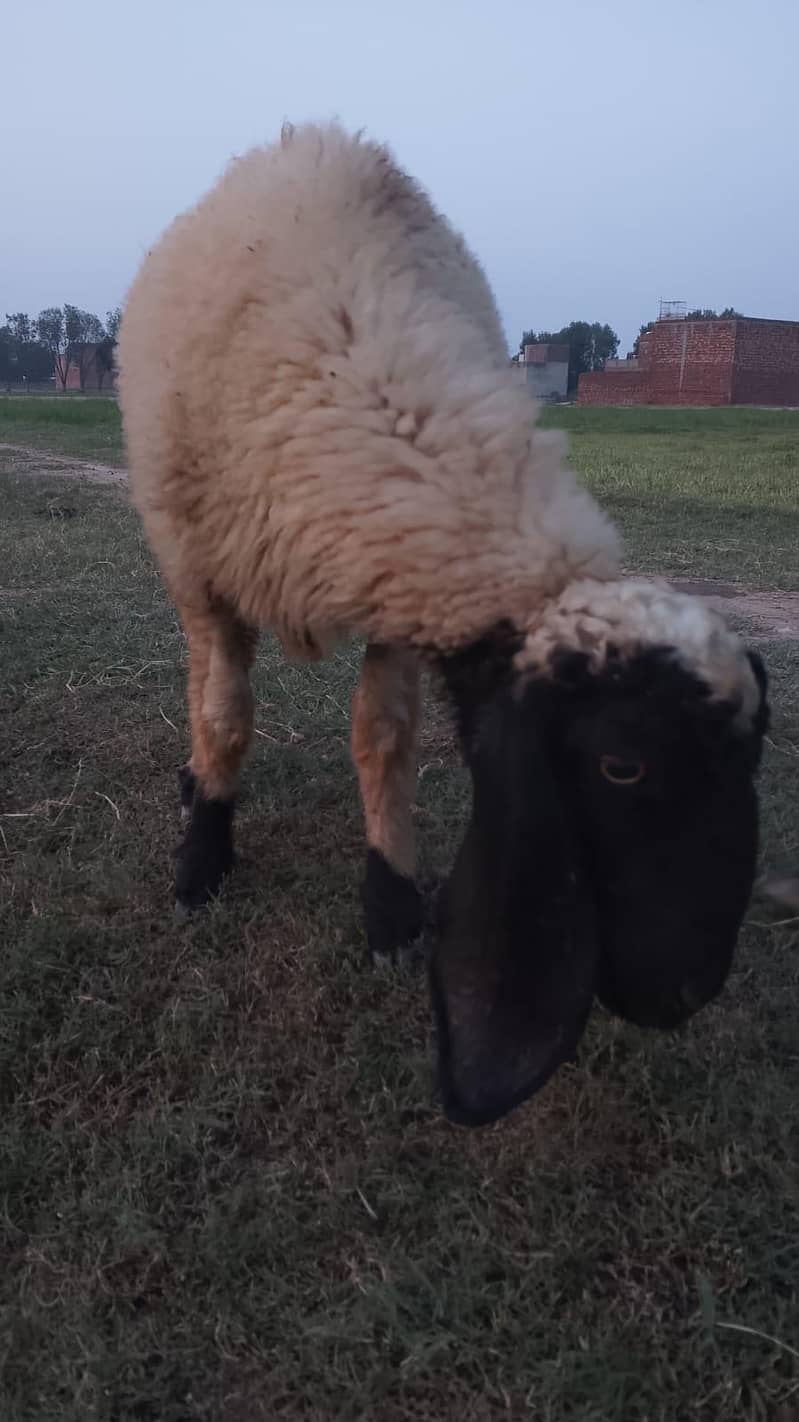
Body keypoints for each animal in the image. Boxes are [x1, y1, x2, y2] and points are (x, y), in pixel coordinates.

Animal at [117, 122, 770, 1125]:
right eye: (620, 766)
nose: (685, 994)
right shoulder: (207, 575)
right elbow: (225, 718)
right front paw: (202, 859)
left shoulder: (400, 592)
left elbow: (381, 740)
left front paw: (389, 906)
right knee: (204, 691)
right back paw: (198, 792)